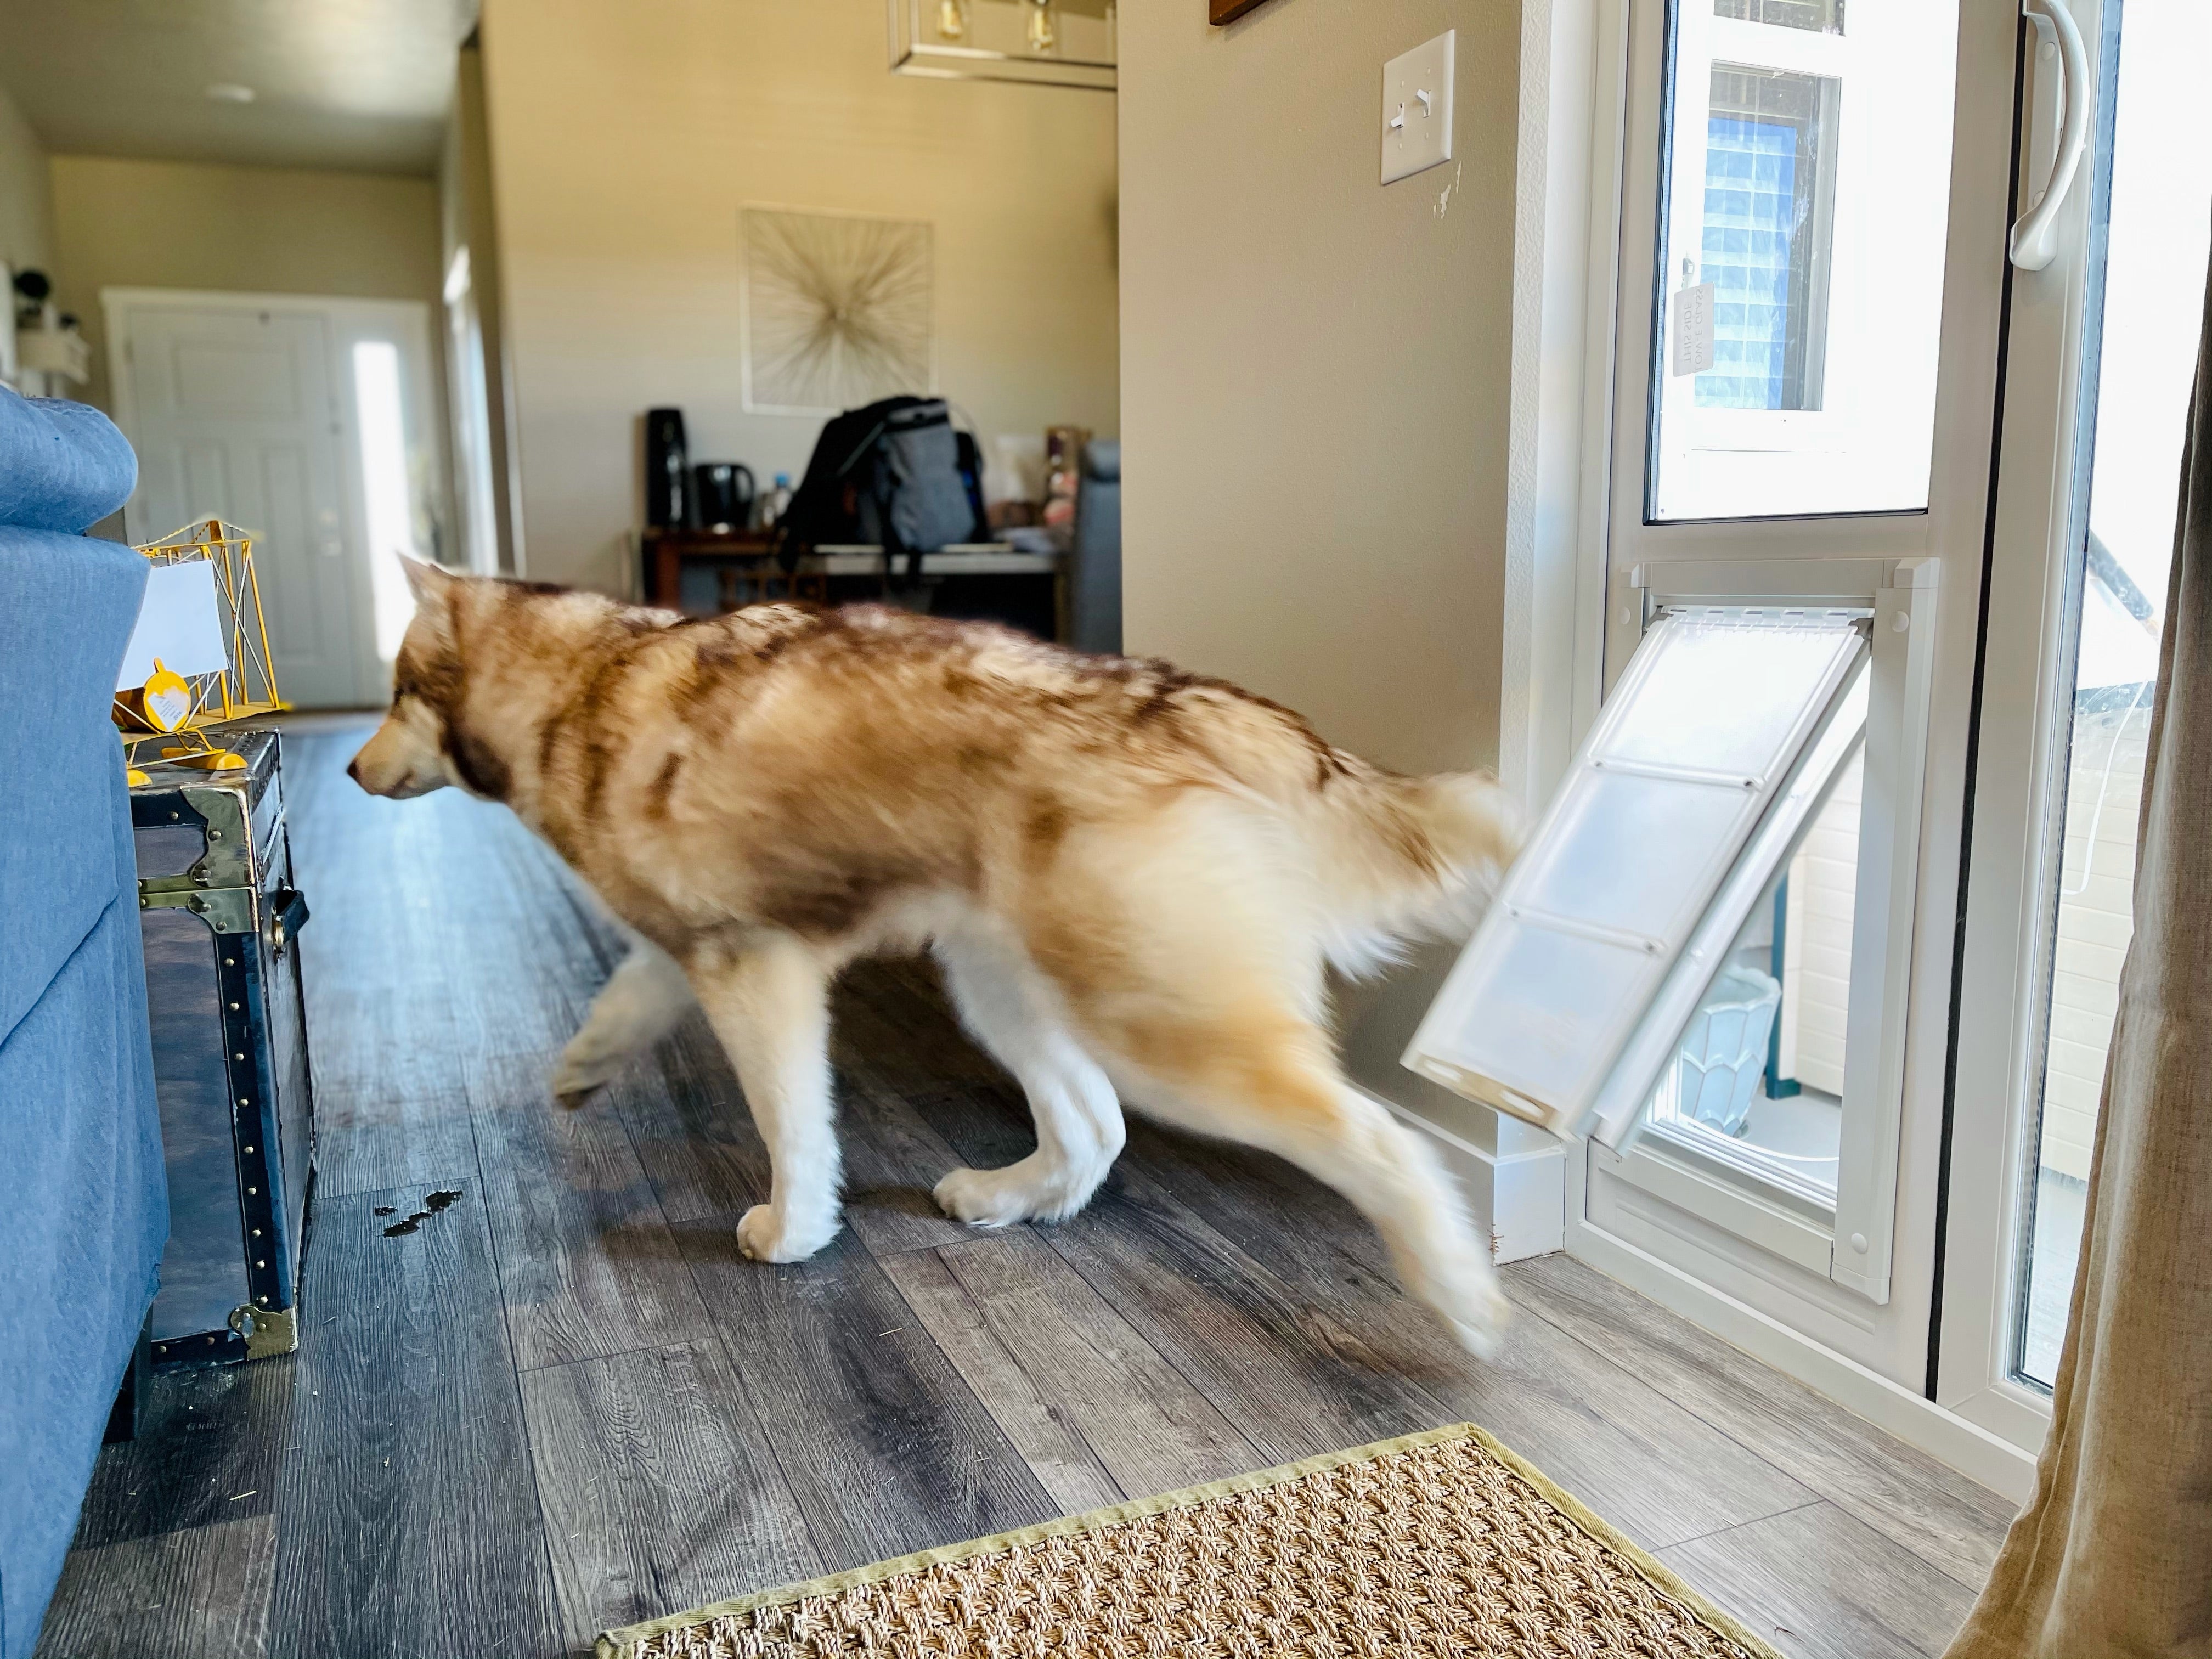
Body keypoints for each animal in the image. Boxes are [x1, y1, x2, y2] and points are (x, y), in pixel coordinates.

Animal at [349, 566, 1522, 1353]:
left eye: (398, 691)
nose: (354, 769)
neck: (582, 680)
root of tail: (1211, 704)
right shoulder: (697, 940)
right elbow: (630, 989)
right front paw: (587, 1062)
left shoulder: (756, 967)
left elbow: (792, 1124)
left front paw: (795, 1228)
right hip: (1004, 983)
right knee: (1094, 1127)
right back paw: (1009, 1197)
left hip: (1159, 1023)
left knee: (1376, 1139)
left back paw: (1459, 1291)